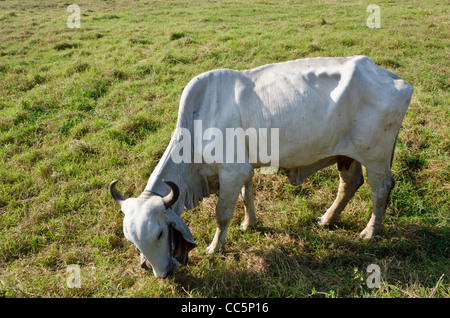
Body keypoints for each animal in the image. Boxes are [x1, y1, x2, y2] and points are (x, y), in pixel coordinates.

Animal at [109, 56, 412, 278]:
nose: (162, 273)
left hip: (376, 157)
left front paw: (214, 248)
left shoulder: (231, 172)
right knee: (349, 185)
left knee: (380, 190)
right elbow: (247, 197)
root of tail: (394, 79)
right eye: (132, 241)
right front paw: (249, 223)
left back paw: (369, 232)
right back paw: (327, 220)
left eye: (160, 234)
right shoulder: (244, 170)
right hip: (347, 155)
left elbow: (222, 214)